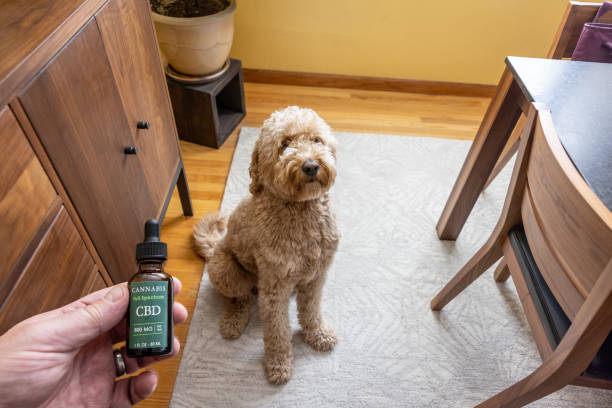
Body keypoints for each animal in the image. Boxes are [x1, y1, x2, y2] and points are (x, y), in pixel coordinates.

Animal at [194, 107, 340, 384]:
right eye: (284, 144)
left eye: (316, 139)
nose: (311, 166)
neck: (301, 210)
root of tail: (215, 246)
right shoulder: (274, 288)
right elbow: (277, 331)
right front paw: (278, 364)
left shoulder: (316, 276)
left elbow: (311, 310)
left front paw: (318, 334)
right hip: (224, 268)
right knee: (238, 298)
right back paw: (233, 321)